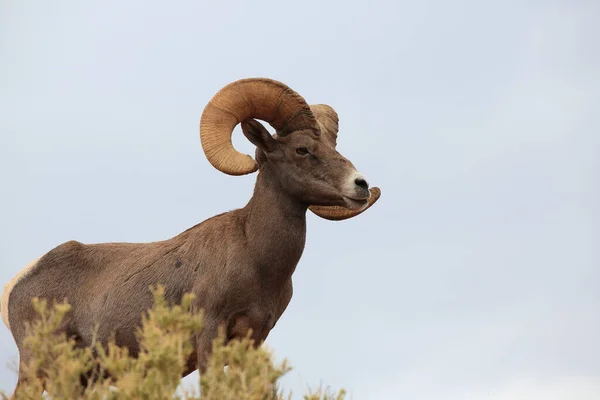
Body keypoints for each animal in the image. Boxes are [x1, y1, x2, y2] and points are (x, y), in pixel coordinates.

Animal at [1, 77, 380, 394]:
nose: (361, 185)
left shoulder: (253, 340)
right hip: (37, 368)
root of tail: (19, 283)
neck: (257, 259)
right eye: (302, 149)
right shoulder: (210, 334)